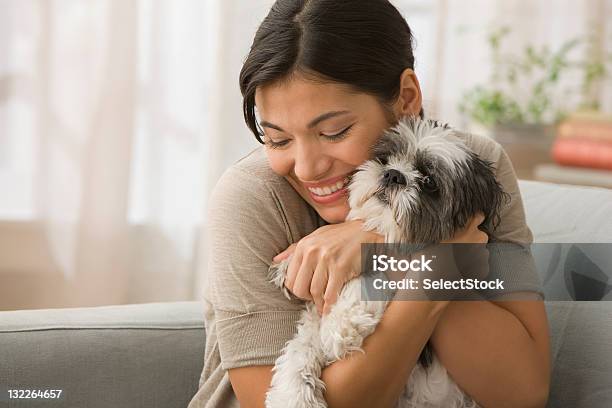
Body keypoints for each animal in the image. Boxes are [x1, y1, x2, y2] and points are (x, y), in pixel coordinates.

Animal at [266, 116, 510, 408]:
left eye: (429, 181)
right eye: (384, 158)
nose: (393, 174)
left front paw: (342, 326)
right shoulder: (313, 321)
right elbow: (298, 352)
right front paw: (292, 395)